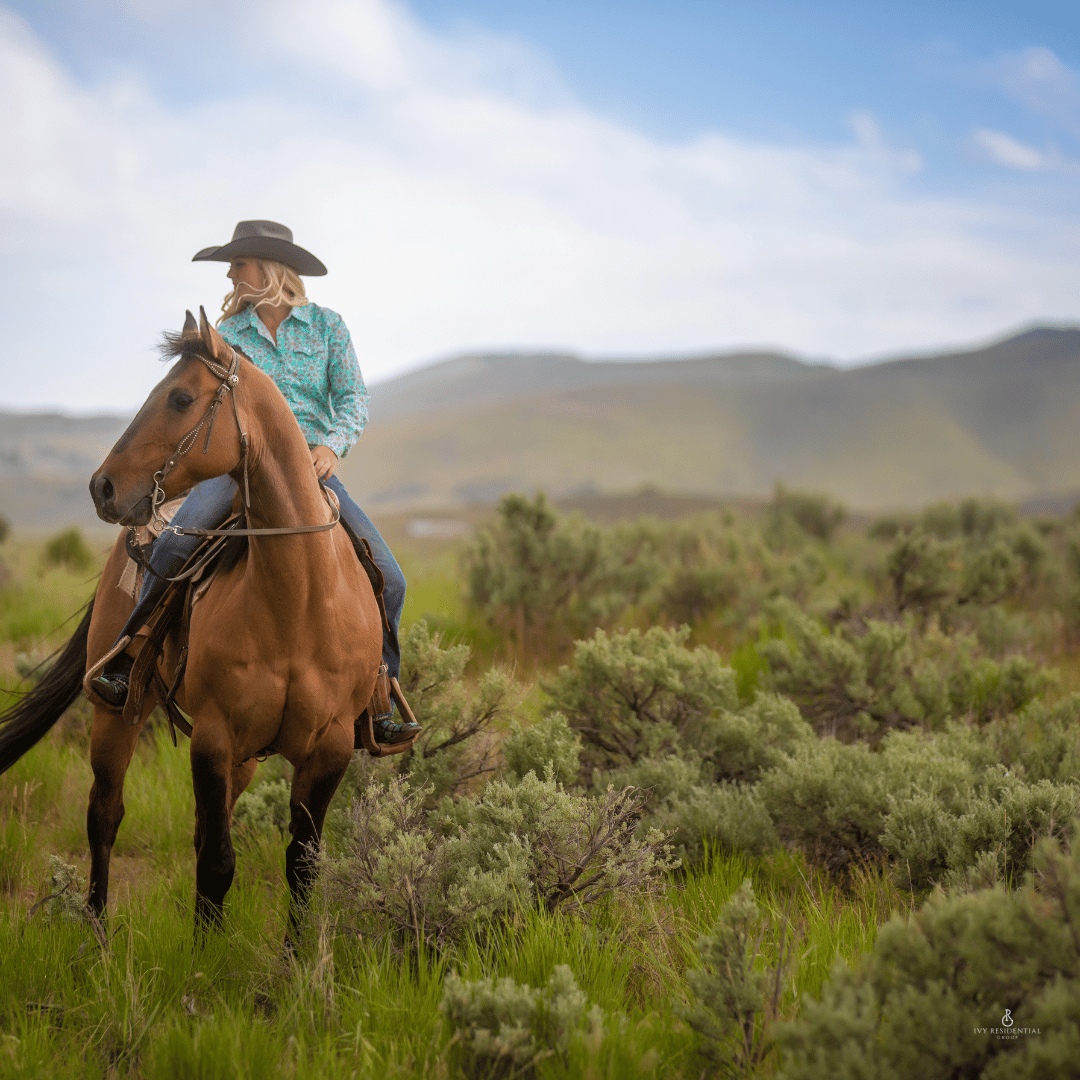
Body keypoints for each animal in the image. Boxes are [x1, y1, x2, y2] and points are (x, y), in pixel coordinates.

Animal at [0, 311, 384, 937]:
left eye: (180, 398)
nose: (102, 486)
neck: (300, 600)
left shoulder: (328, 747)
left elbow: (301, 867)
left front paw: (294, 959)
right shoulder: (213, 735)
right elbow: (217, 864)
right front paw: (204, 957)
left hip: (248, 759)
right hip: (116, 716)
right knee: (105, 815)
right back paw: (96, 932)